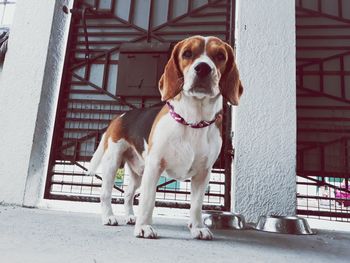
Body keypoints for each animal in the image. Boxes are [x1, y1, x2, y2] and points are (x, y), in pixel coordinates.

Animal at [87, 35, 242, 241]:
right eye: (187, 53)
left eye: (220, 56)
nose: (203, 68)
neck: (193, 121)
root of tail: (120, 116)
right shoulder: (155, 166)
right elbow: (148, 200)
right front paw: (144, 226)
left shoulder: (203, 173)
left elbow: (196, 205)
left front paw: (197, 227)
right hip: (113, 163)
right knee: (105, 194)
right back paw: (109, 217)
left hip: (137, 173)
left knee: (127, 195)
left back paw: (130, 217)